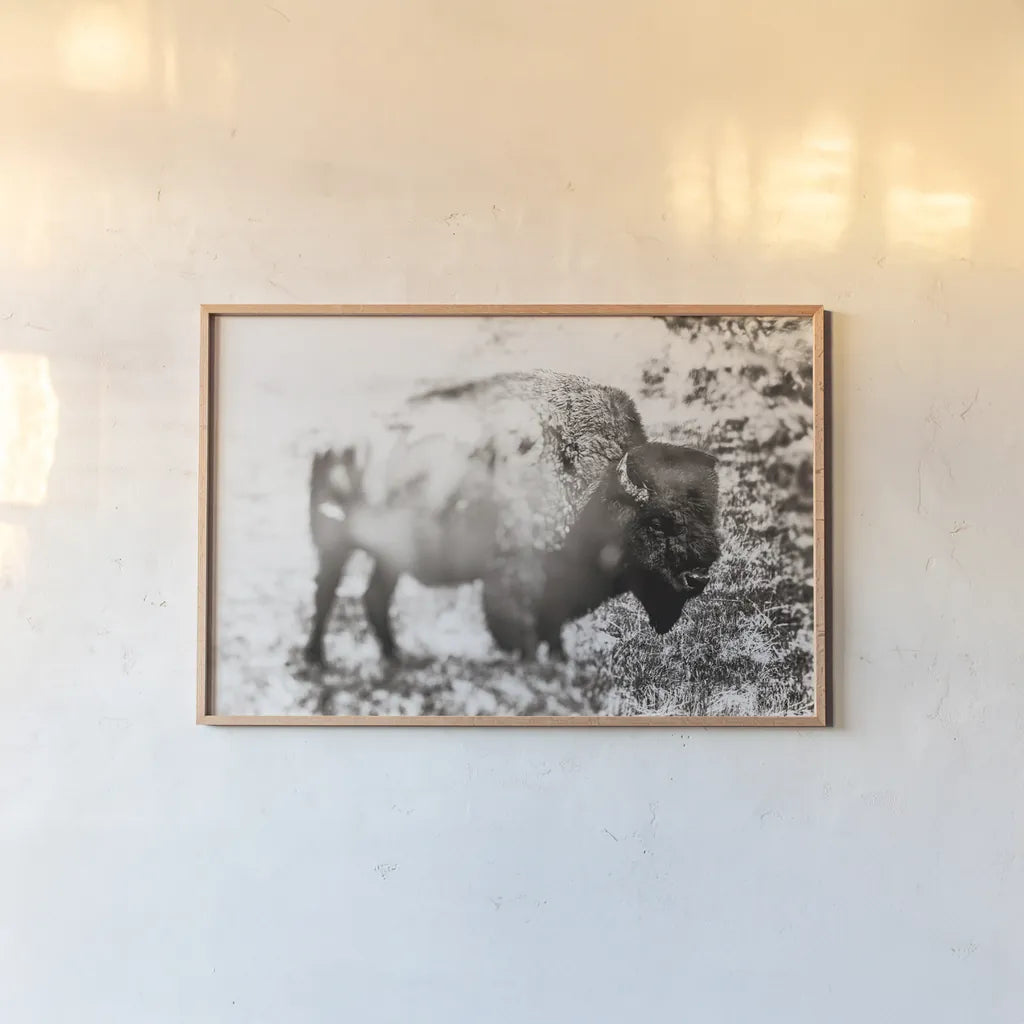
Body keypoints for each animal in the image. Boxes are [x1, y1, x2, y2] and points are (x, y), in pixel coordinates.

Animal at [302, 369, 720, 666]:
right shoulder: (517, 572)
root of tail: (335, 443)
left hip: (389, 555)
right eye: (658, 522)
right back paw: (318, 659)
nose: (698, 577)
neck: (598, 488)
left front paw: (560, 661)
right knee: (326, 592)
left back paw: (394, 659)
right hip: (334, 542)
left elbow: (552, 625)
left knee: (373, 597)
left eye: (710, 518)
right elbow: (523, 626)